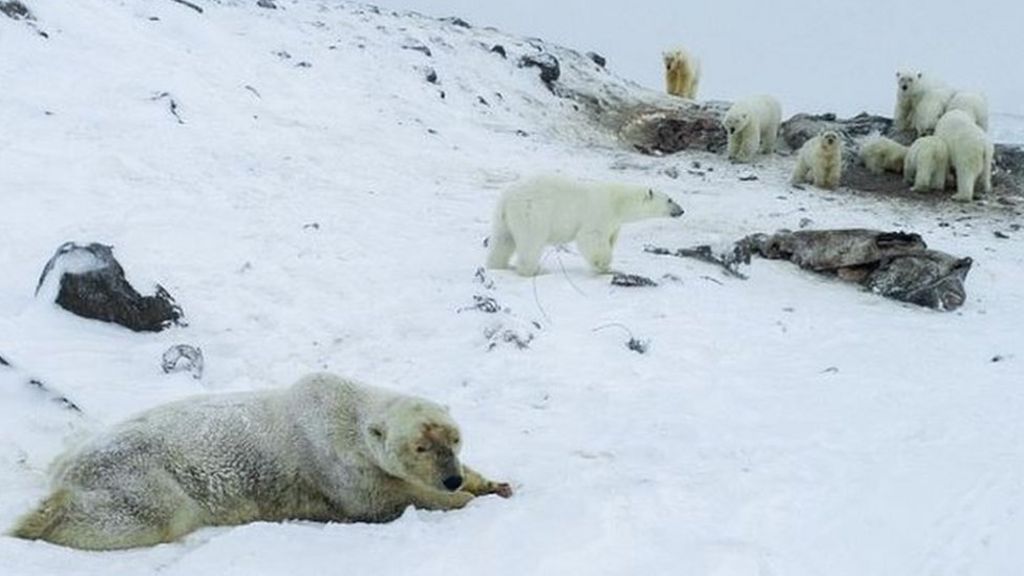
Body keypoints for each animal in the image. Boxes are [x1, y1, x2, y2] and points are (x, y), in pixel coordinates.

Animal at [9, 373, 512, 545]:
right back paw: (35, 518)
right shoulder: (336, 464)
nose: (451, 479)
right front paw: (460, 500)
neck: (346, 409)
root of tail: (65, 463)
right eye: (420, 447)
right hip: (139, 470)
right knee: (150, 514)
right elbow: (384, 499)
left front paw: (492, 483)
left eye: (455, 439)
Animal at [485, 172, 684, 276]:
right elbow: (592, 238)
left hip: (503, 218)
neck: (618, 202)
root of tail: (507, 199)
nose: (681, 210)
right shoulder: (600, 213)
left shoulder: (614, 223)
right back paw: (535, 270)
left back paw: (498, 265)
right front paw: (606, 267)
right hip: (532, 212)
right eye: (669, 199)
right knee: (531, 241)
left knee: (502, 240)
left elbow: (610, 239)